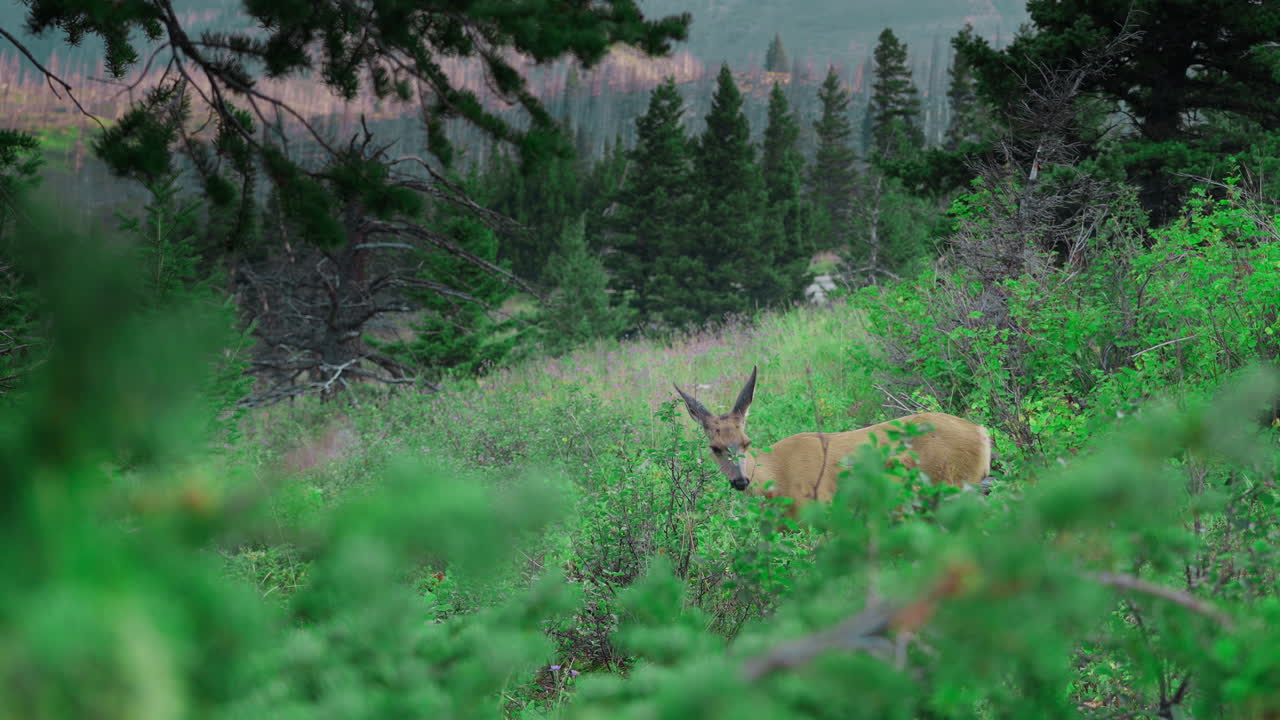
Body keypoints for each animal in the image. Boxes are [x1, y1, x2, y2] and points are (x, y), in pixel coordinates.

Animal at [673, 366, 993, 519]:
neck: (777, 478)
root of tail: (982, 432)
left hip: (955, 486)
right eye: (715, 448)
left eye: (746, 442)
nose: (741, 481)